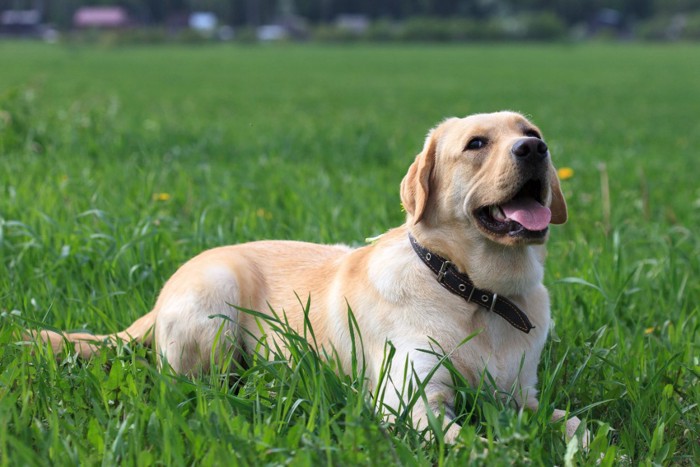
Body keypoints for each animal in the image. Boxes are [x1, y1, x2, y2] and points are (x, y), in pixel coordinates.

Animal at [27, 109, 588, 446]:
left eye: (532, 133)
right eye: (476, 144)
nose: (534, 151)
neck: (478, 292)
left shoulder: (522, 396)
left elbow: (579, 423)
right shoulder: (411, 402)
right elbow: (471, 442)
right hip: (215, 303)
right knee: (198, 385)